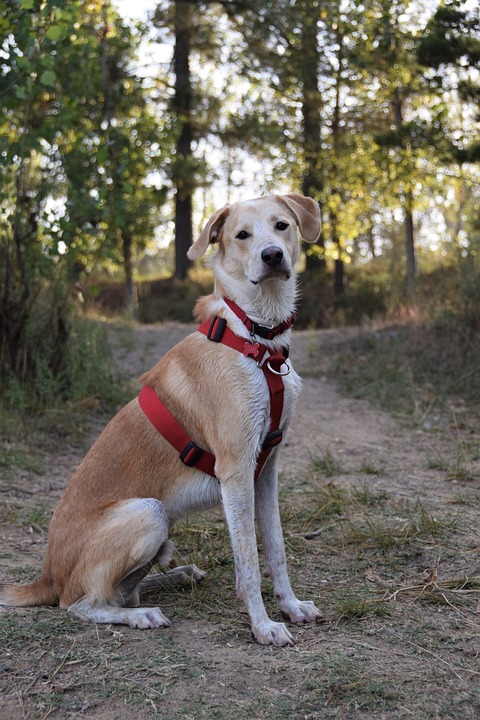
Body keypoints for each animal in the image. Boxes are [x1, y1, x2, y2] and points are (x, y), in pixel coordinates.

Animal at [0, 193, 322, 648]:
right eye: (242, 235)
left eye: (282, 226)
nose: (272, 256)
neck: (256, 336)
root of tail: (47, 577)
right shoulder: (236, 472)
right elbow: (249, 563)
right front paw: (262, 626)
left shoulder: (266, 470)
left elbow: (275, 549)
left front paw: (290, 606)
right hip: (148, 513)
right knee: (83, 604)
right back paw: (141, 616)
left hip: (160, 534)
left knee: (125, 591)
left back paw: (179, 576)